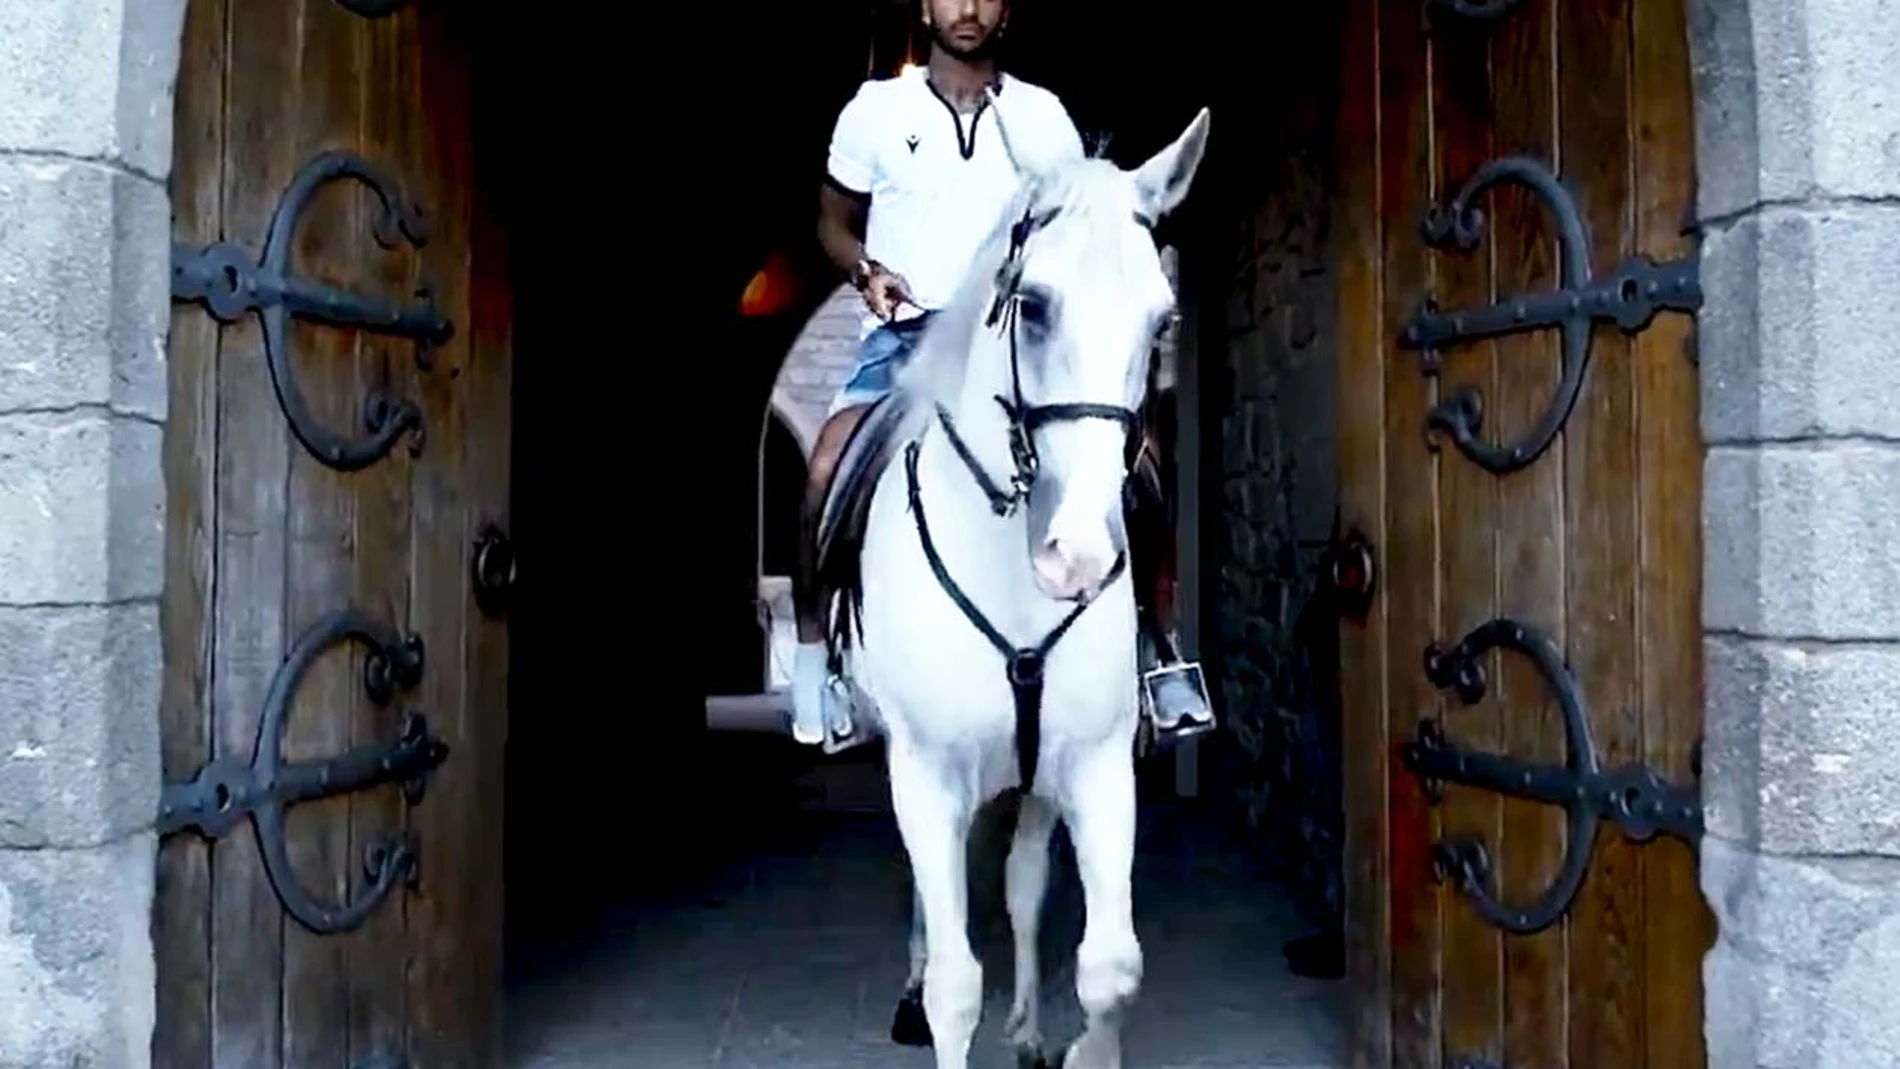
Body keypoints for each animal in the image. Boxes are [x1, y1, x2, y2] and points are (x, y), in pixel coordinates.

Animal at [809, 106, 1208, 1069]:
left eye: (1162, 321)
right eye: (1033, 305)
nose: (1075, 556)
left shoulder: (1097, 764)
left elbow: (1109, 964)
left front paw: (1076, 1044)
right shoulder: (925, 768)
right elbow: (956, 982)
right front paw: (935, 1000)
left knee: (1024, 881)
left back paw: (1026, 1025)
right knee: (934, 899)